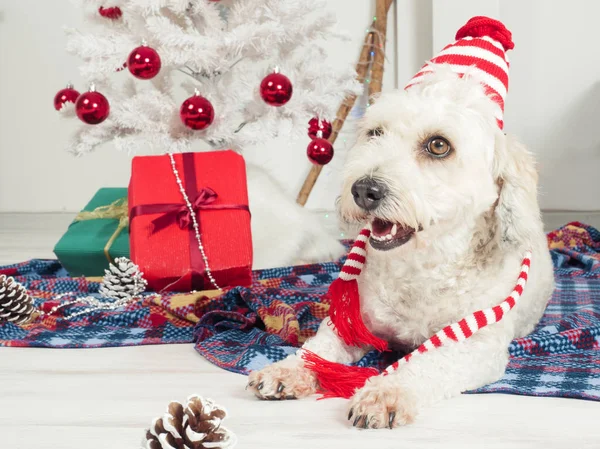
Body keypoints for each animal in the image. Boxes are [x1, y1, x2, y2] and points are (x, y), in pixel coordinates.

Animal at [246, 65, 556, 428]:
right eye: (375, 132)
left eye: (439, 145)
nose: (363, 190)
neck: (421, 269)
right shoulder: (352, 321)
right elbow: (319, 348)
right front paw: (289, 369)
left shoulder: (475, 344)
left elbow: (424, 364)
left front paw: (385, 393)